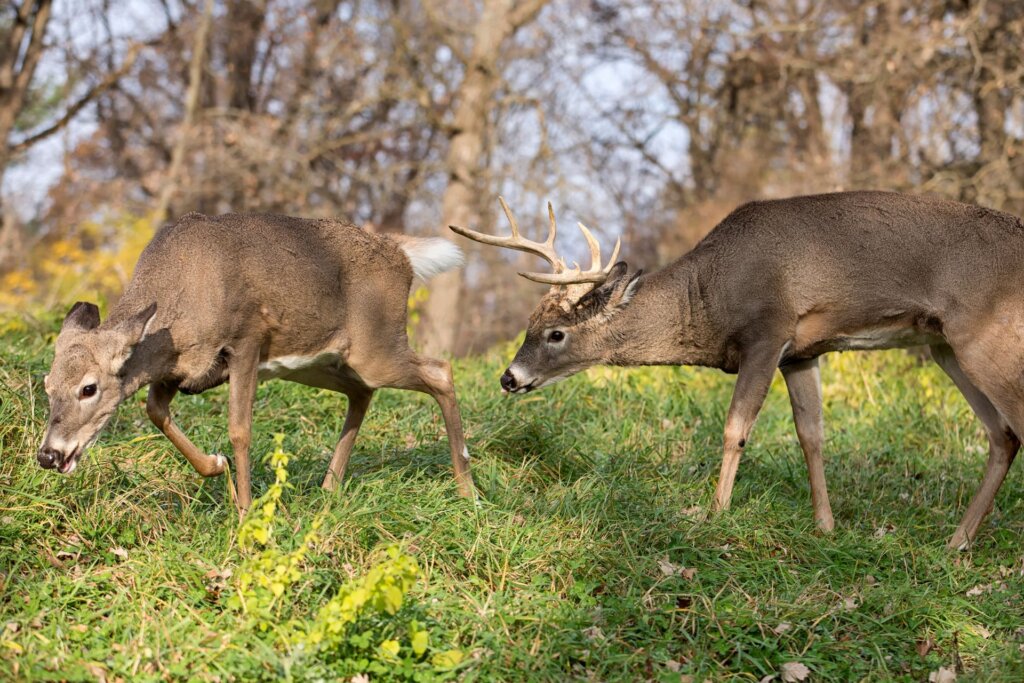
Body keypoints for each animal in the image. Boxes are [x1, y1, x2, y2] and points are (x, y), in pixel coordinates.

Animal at [37, 212, 475, 514]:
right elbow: (155, 412)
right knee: (362, 391)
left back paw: (467, 490)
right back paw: (329, 488)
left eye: (89, 388)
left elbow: (240, 430)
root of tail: (402, 256)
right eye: (47, 386)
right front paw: (217, 466)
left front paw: (246, 512)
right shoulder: (177, 368)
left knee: (440, 371)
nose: (48, 455)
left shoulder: (246, 338)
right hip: (317, 362)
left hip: (376, 346)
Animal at [451, 191, 1024, 549]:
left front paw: (715, 514)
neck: (710, 297)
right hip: (944, 345)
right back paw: (955, 542)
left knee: (1015, 425)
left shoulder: (768, 332)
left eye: (555, 334)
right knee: (1003, 435)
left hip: (983, 335)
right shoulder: (803, 353)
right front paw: (825, 527)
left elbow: (735, 428)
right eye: (528, 323)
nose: (508, 377)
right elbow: (811, 434)